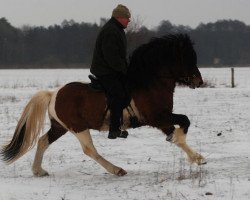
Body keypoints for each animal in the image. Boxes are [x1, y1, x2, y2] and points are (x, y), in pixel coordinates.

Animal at [0, 32, 206, 177]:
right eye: (187, 58)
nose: (199, 81)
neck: (149, 82)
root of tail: (53, 94)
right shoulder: (157, 117)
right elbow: (184, 122)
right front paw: (190, 150)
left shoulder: (162, 119)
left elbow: (177, 133)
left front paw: (197, 157)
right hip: (78, 127)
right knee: (89, 150)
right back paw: (116, 169)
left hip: (60, 127)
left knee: (43, 141)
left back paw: (38, 171)